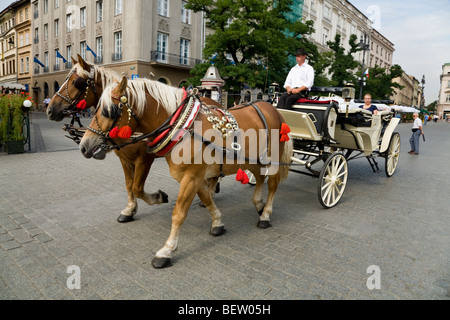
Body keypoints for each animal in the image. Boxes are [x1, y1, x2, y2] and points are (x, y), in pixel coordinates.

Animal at [79, 77, 294, 268]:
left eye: (109, 111)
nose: (84, 145)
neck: (182, 128)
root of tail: (271, 108)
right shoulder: (195, 177)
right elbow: (207, 199)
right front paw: (217, 222)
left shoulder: (191, 177)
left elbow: (178, 214)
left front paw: (166, 251)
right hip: (254, 159)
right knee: (259, 178)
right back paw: (258, 204)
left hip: (273, 157)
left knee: (272, 184)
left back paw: (265, 215)